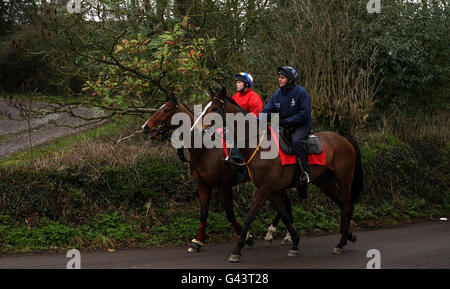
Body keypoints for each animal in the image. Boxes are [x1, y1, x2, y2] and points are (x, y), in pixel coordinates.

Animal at [142, 95, 294, 252]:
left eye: (166, 109)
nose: (145, 127)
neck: (205, 150)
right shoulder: (203, 186)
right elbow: (203, 213)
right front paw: (197, 241)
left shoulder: (224, 187)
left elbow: (230, 214)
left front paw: (247, 238)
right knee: (286, 202)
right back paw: (281, 235)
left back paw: (278, 234)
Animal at [200, 87, 362, 260]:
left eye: (214, 108)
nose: (200, 127)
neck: (259, 146)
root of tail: (345, 140)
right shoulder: (273, 191)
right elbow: (284, 216)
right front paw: (295, 243)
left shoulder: (265, 189)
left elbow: (249, 216)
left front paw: (237, 250)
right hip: (325, 182)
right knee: (342, 204)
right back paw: (347, 236)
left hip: (344, 181)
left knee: (347, 205)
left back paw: (341, 242)